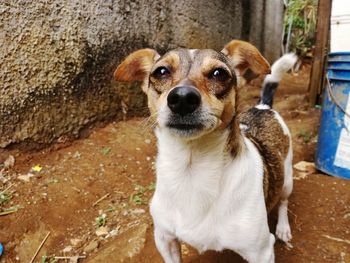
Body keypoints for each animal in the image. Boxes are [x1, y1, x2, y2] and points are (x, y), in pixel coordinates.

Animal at [113, 40, 296, 263]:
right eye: (161, 72)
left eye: (219, 73)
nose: (182, 98)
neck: (192, 171)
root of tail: (262, 107)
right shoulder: (165, 239)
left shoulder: (261, 252)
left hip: (287, 179)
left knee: (284, 202)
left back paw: (283, 228)